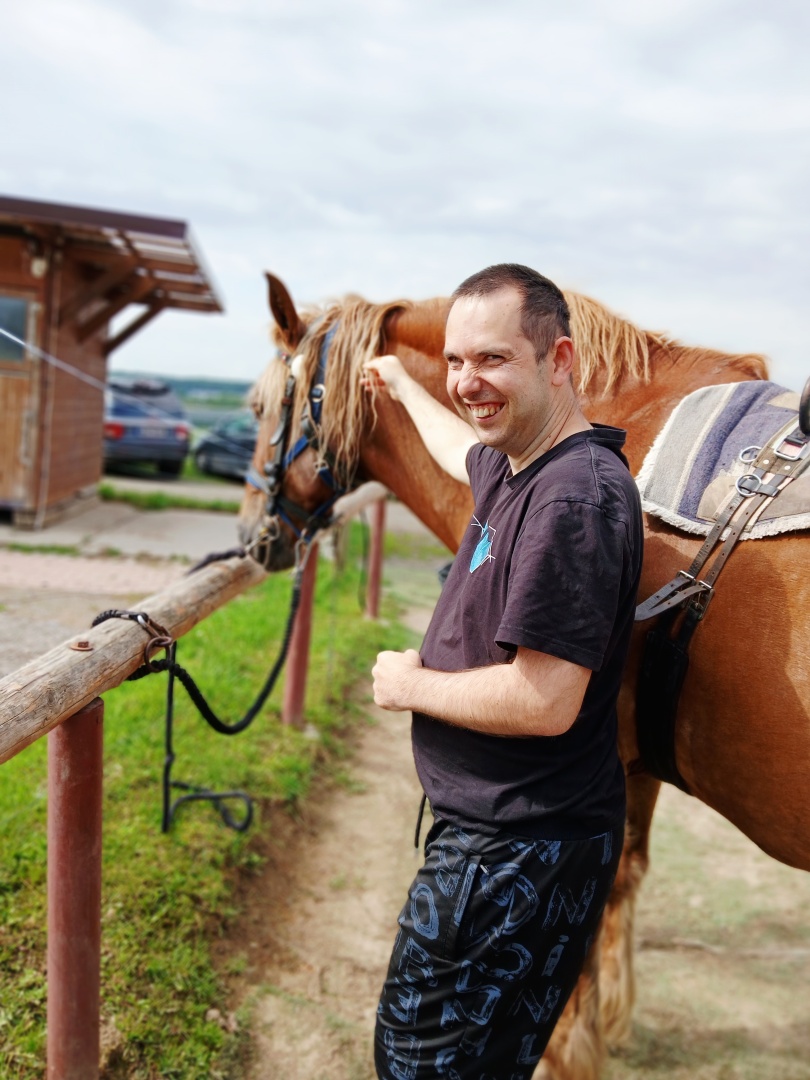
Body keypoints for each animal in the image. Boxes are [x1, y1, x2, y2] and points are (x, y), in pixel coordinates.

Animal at [239, 272, 810, 1080]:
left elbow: (590, 908)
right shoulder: (639, 764)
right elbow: (630, 874)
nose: (251, 535)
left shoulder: (608, 757)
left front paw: (570, 1049)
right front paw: (611, 1022)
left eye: (260, 408)